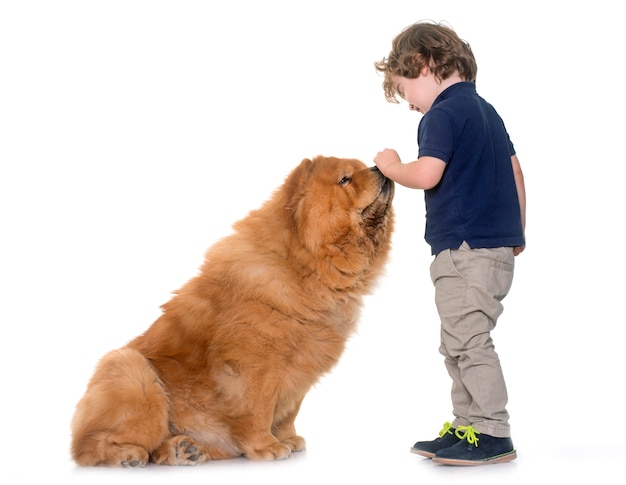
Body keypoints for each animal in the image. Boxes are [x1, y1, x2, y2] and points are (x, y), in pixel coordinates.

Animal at [70, 155, 392, 466]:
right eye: (345, 179)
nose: (381, 168)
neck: (305, 269)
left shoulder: (304, 364)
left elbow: (288, 412)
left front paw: (289, 439)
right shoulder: (254, 364)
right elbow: (259, 409)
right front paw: (268, 447)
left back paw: (183, 450)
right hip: (132, 372)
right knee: (88, 448)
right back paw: (129, 455)